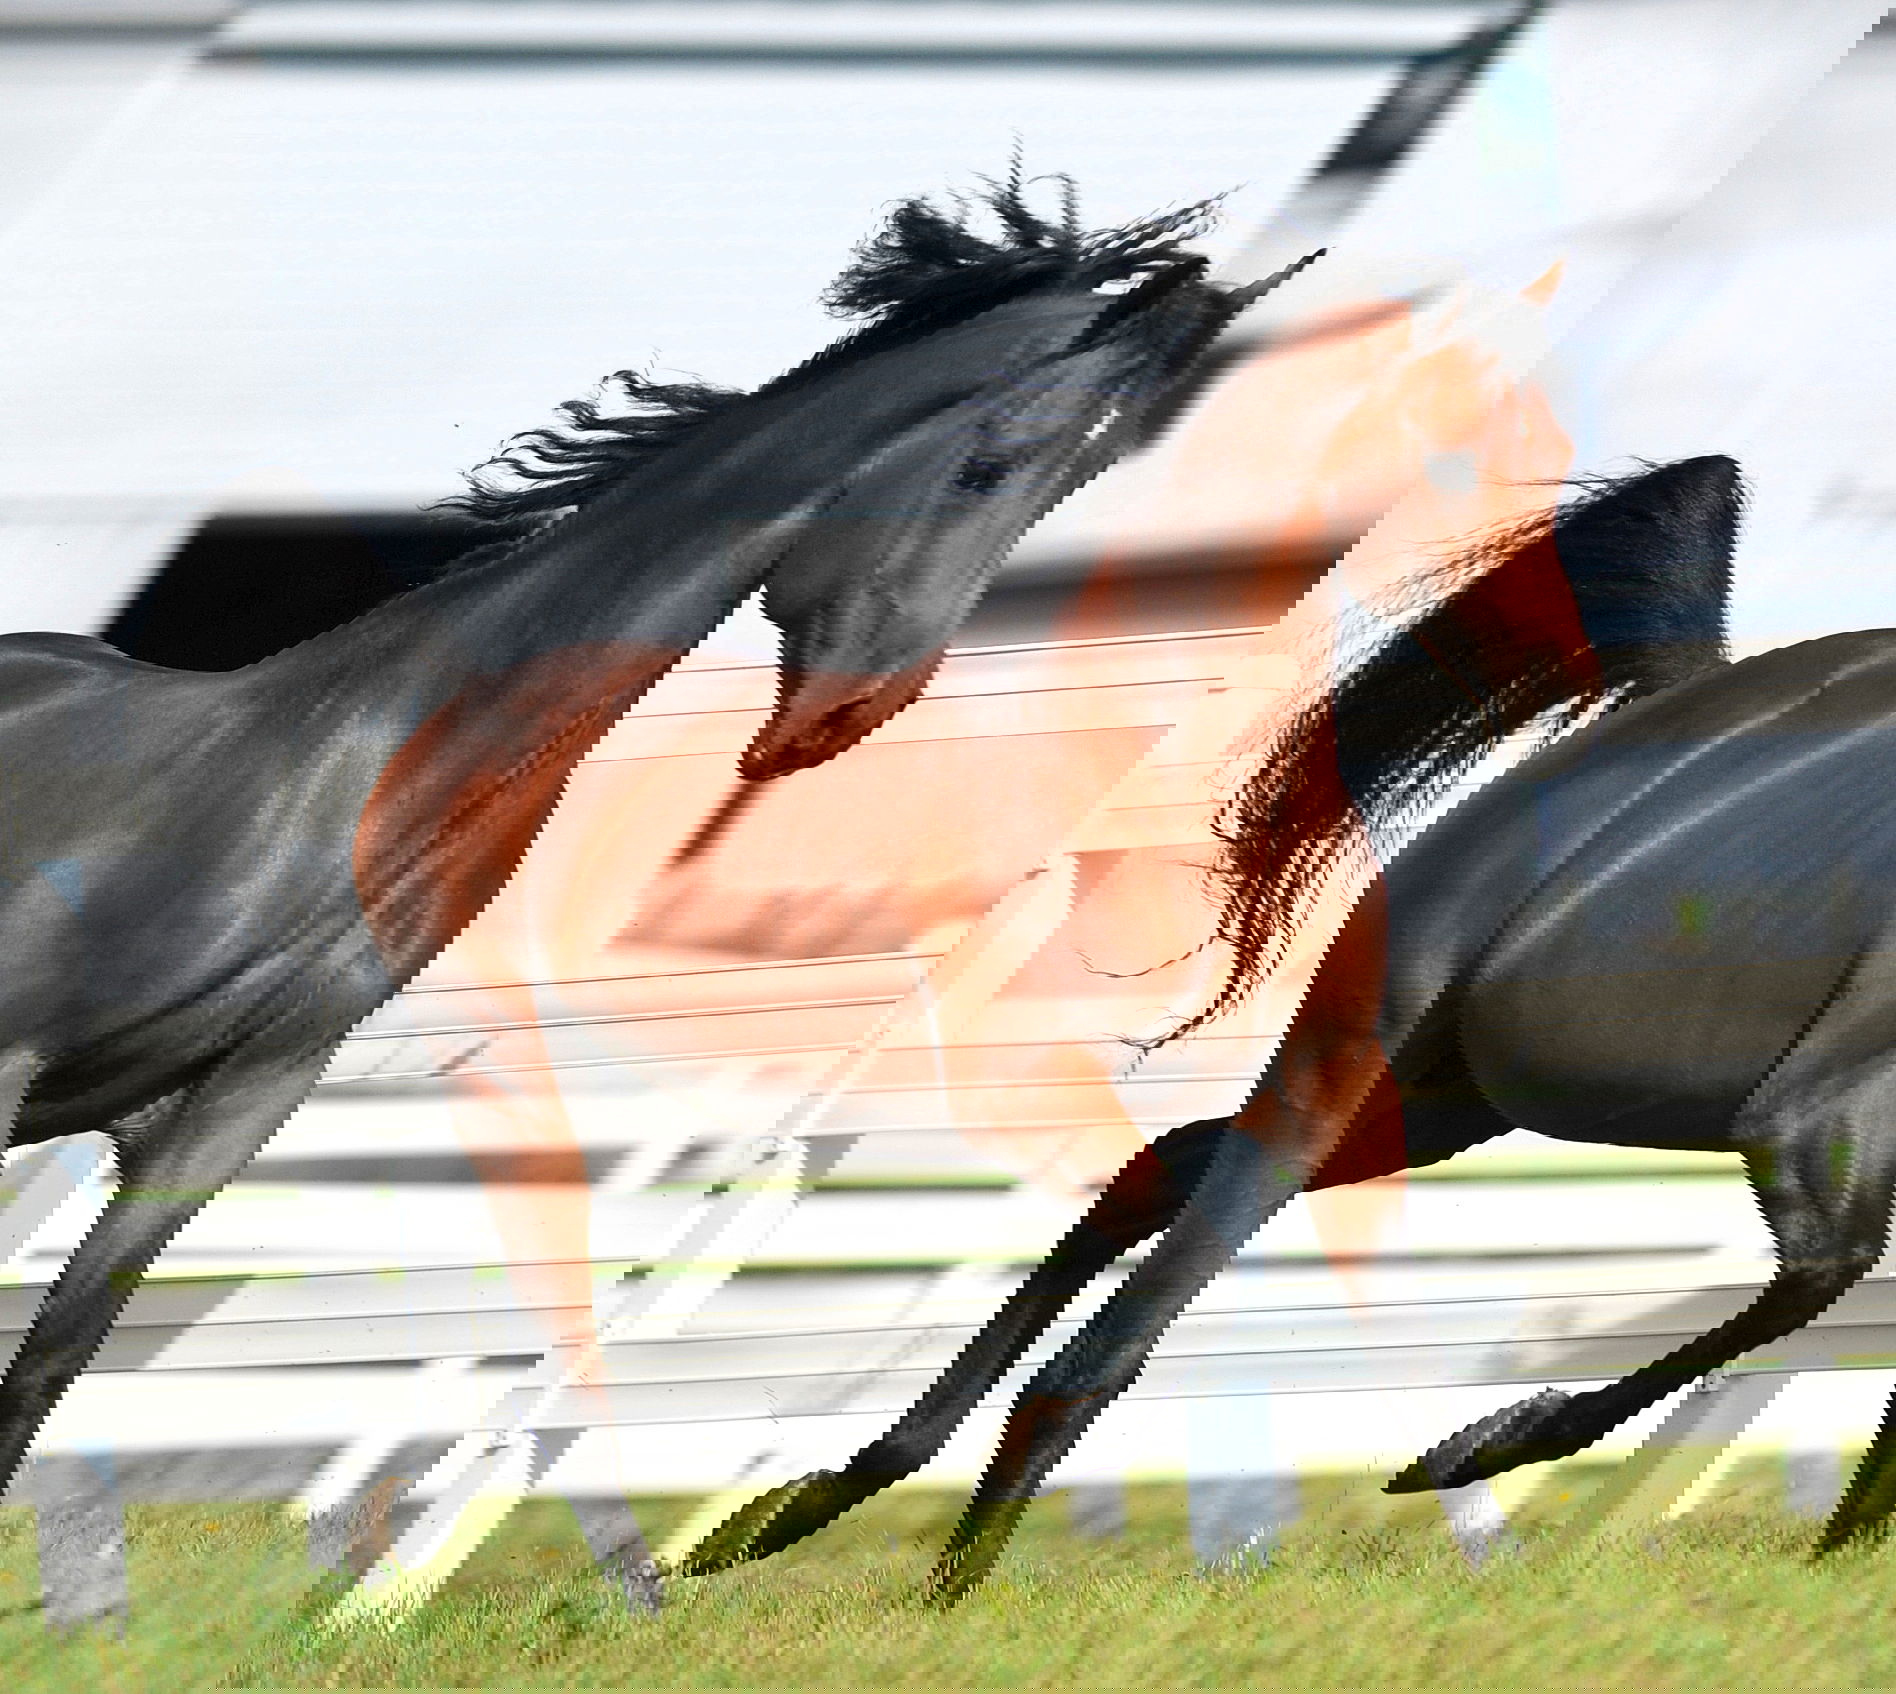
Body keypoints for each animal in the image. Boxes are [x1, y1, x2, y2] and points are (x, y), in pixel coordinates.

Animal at [0, 172, 1322, 1513]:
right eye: (985, 468)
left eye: (1080, 476)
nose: (850, 710)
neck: (334, 789)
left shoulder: (228, 1104)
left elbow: (51, 1356)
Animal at [680, 452, 1896, 1600]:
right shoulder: (1804, 1116)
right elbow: (1820, 1272)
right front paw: (1471, 1448)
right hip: (1360, 1054)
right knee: (1136, 1307)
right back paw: (924, 1549)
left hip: (1448, 1098)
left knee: (1161, 1169)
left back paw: (818, 1502)